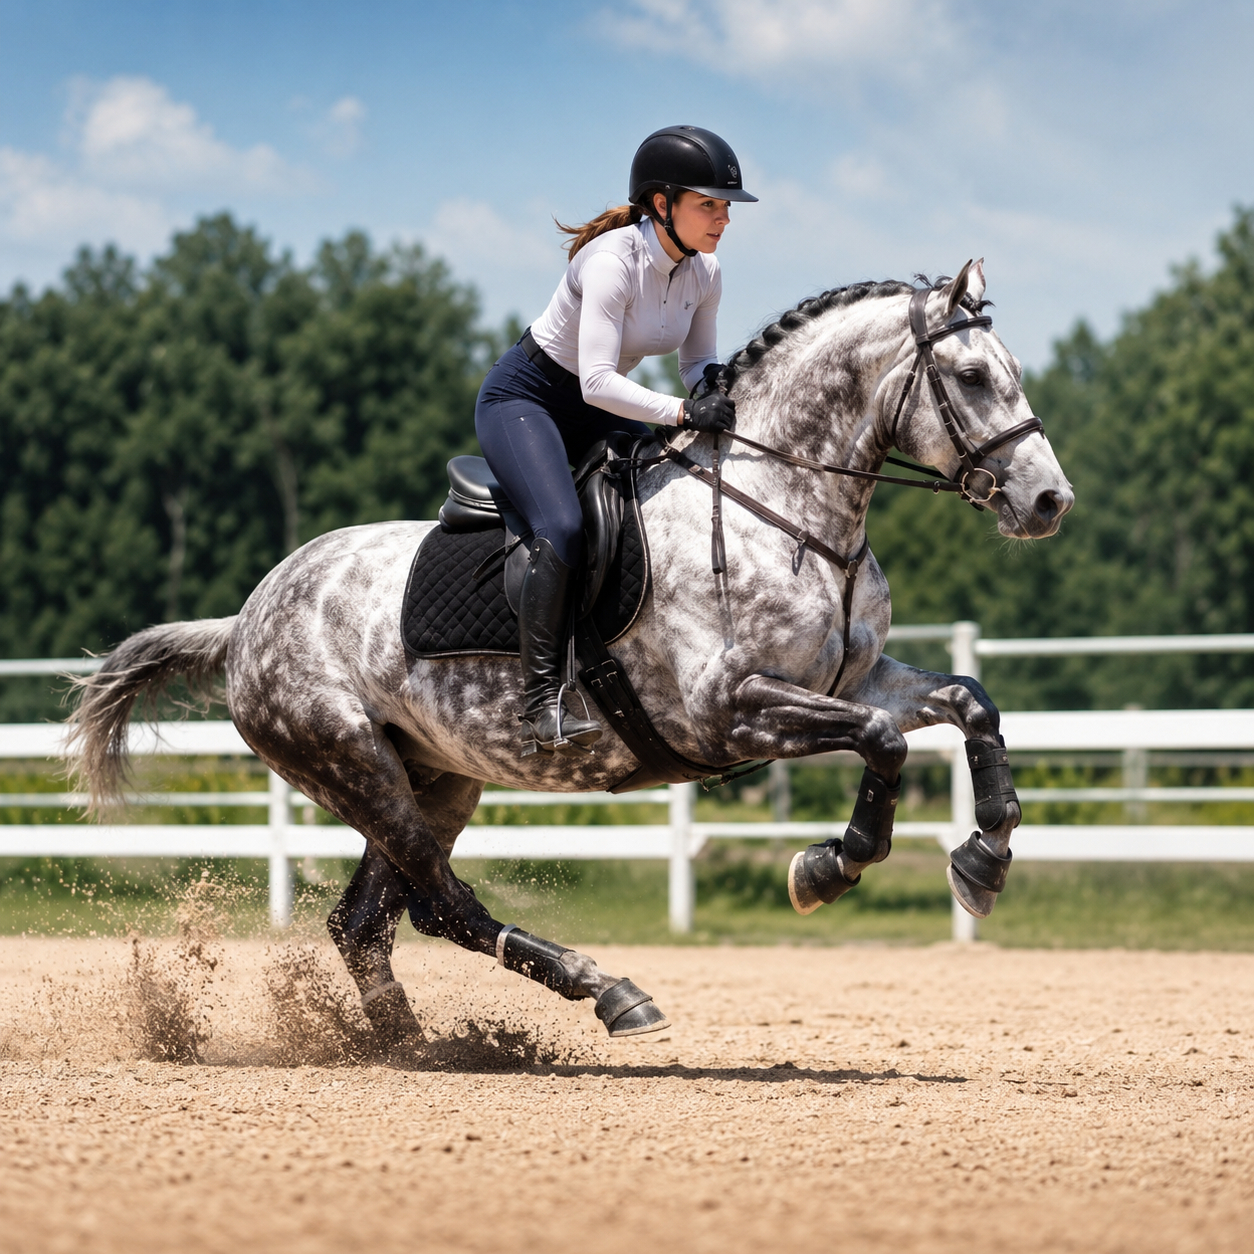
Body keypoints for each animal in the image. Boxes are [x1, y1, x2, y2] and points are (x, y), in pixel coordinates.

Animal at [68, 260, 1073, 1048]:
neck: (785, 509)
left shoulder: (857, 678)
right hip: (349, 761)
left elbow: (969, 702)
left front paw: (982, 863)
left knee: (368, 922)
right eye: (973, 376)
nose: (1049, 502)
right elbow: (882, 740)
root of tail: (248, 617)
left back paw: (413, 1048)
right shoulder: (732, 713)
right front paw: (827, 868)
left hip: (435, 776)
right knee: (441, 904)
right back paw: (607, 993)